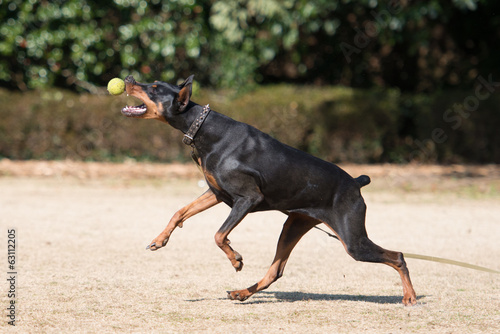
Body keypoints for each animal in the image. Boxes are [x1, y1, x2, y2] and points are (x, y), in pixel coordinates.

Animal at [121, 75, 418, 306]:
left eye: (154, 88)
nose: (128, 78)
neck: (204, 128)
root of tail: (356, 182)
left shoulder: (248, 199)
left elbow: (218, 235)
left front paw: (236, 259)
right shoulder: (216, 193)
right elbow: (180, 212)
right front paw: (159, 240)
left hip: (352, 240)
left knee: (398, 256)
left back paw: (410, 297)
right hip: (295, 224)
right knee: (276, 271)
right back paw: (241, 293)